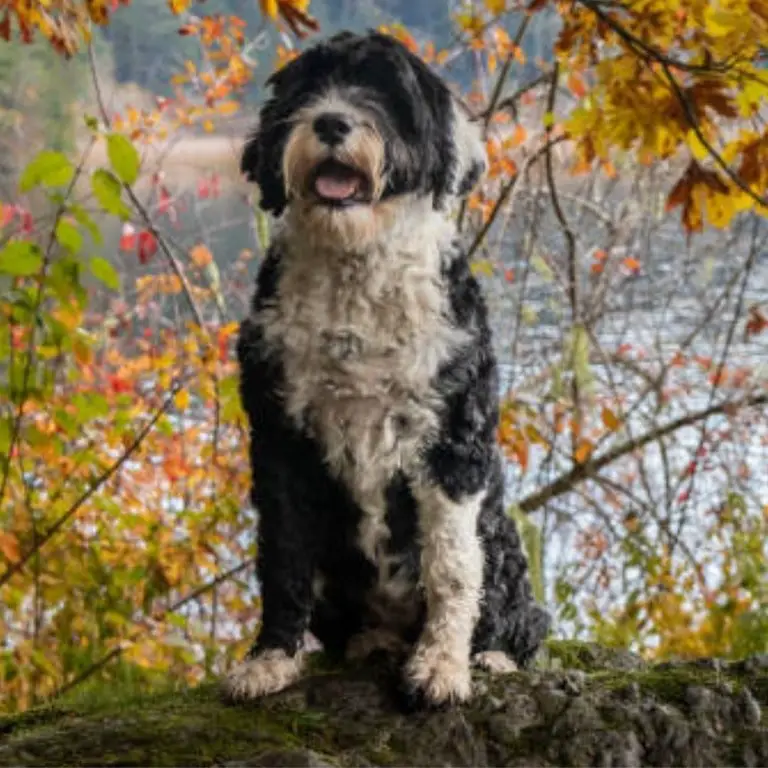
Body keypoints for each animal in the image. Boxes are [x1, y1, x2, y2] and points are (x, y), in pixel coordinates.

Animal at [225, 31, 548, 708]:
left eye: (386, 93)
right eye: (307, 89)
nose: (331, 121)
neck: (357, 268)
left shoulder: (452, 443)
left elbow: (451, 566)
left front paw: (442, 667)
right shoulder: (280, 440)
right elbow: (284, 557)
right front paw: (270, 659)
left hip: (502, 540)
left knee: (516, 613)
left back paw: (490, 655)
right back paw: (370, 643)